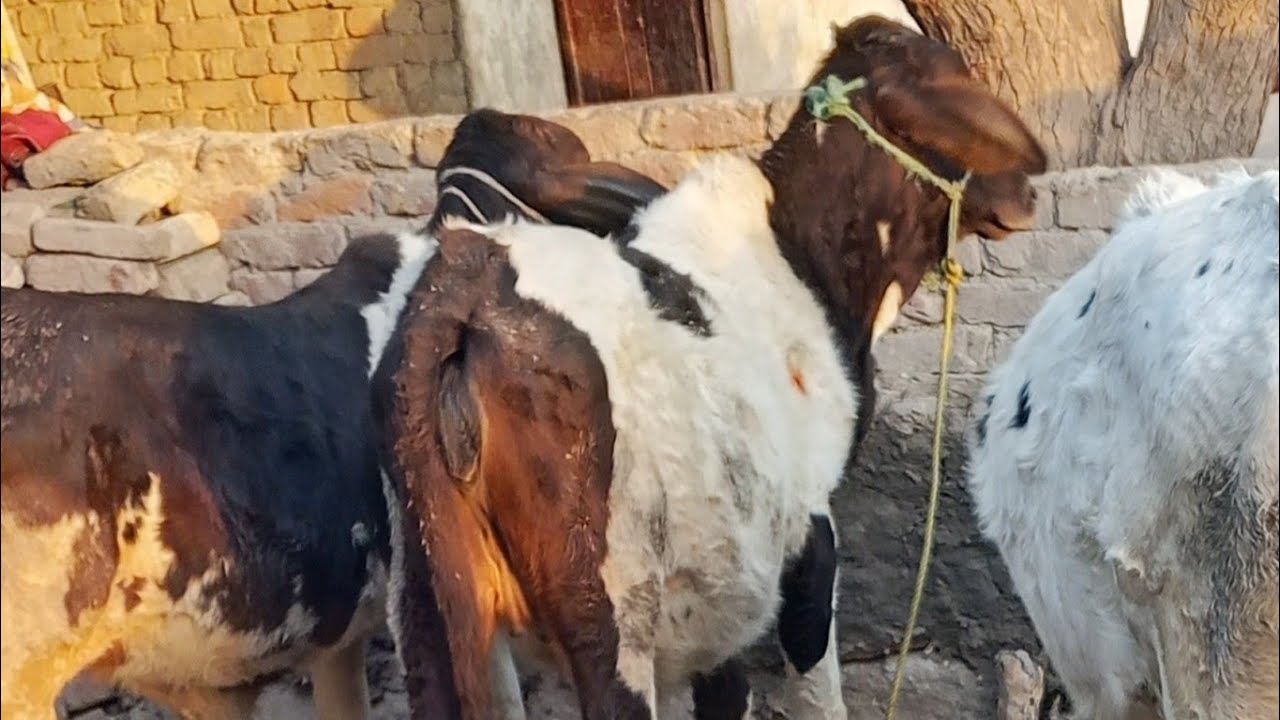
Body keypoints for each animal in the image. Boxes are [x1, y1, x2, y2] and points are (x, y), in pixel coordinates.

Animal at [371, 15, 1047, 720]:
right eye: (946, 80)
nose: (1026, 193)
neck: (797, 257)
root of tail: (460, 287)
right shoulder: (809, 531)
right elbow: (817, 684)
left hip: (435, 615)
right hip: (610, 619)